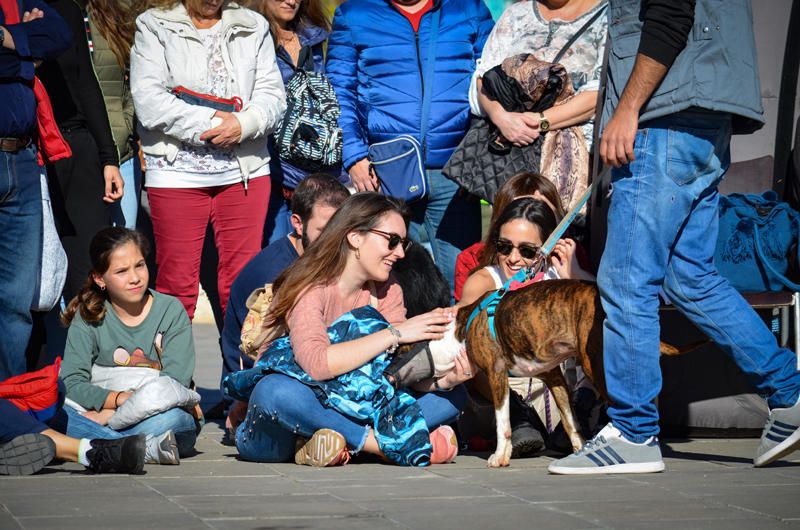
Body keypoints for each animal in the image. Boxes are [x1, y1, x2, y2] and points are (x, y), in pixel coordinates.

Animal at [454, 278, 684, 464]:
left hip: (595, 365)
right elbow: (569, 419)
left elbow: (502, 421)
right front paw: (580, 449)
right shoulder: (554, 377)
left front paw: (500, 456)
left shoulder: (496, 373)